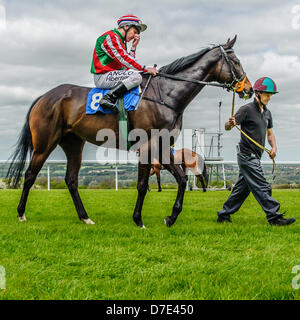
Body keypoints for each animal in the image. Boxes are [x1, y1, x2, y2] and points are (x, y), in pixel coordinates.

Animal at [6, 36, 253, 228]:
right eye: (236, 61)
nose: (249, 89)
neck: (166, 94)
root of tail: (44, 96)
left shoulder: (163, 147)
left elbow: (182, 179)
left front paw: (171, 217)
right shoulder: (147, 146)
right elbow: (142, 185)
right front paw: (138, 220)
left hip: (74, 143)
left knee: (71, 180)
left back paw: (85, 217)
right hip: (45, 143)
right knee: (30, 175)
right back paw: (21, 214)